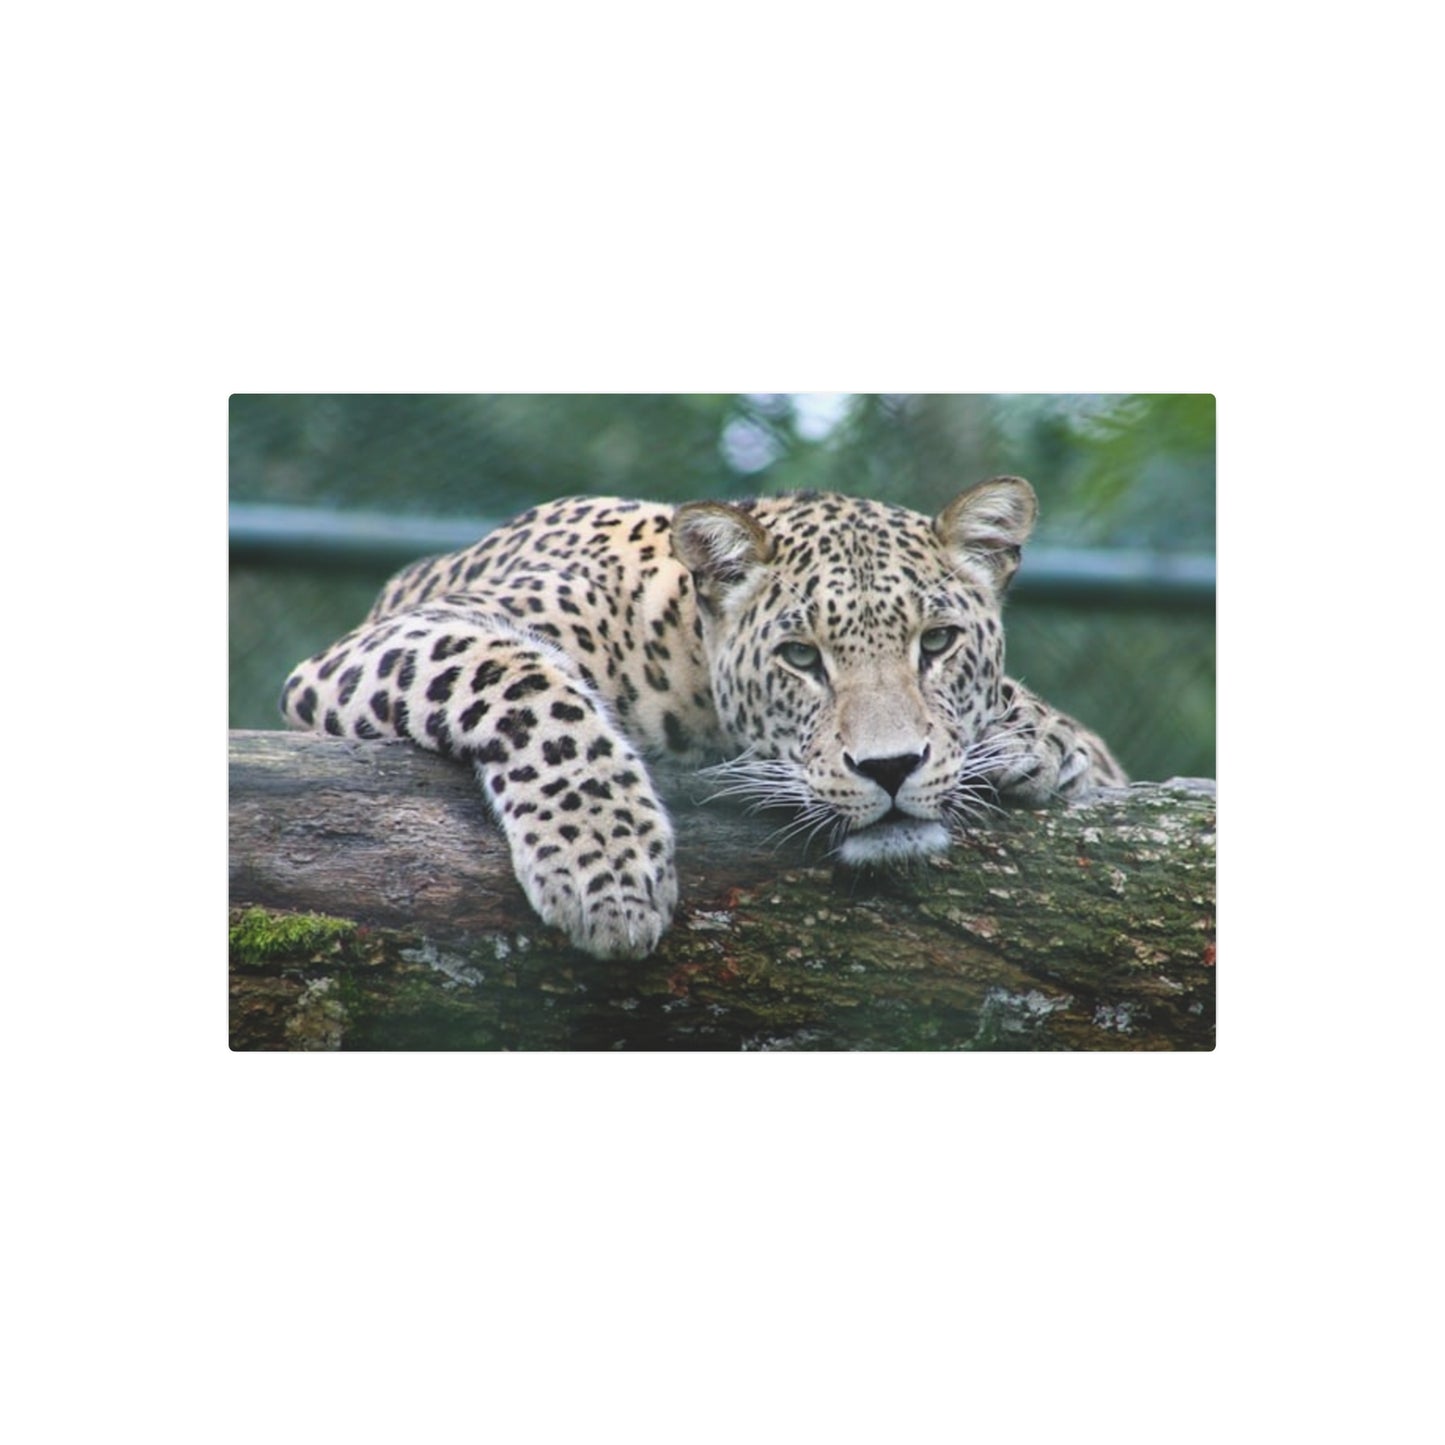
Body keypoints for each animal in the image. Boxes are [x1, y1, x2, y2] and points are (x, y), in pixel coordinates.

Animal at [280, 476, 1126, 960]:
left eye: (938, 642)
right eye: (800, 656)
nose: (889, 769)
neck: (682, 650)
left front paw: (1043, 740)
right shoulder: (388, 642)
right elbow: (525, 681)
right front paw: (607, 868)